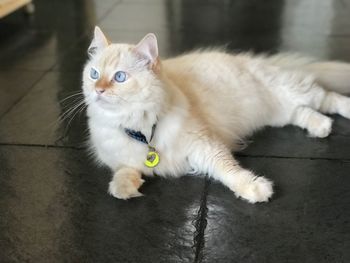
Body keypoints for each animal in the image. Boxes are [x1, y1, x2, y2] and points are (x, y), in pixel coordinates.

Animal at [81, 26, 350, 204]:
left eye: (119, 77)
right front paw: (124, 188)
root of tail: (258, 60)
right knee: (304, 113)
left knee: (329, 98)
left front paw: (255, 189)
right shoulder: (120, 159)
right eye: (94, 74)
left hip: (296, 92)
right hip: (280, 111)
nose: (98, 90)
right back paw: (321, 127)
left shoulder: (203, 146)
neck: (140, 128)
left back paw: (340, 113)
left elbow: (229, 171)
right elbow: (124, 170)